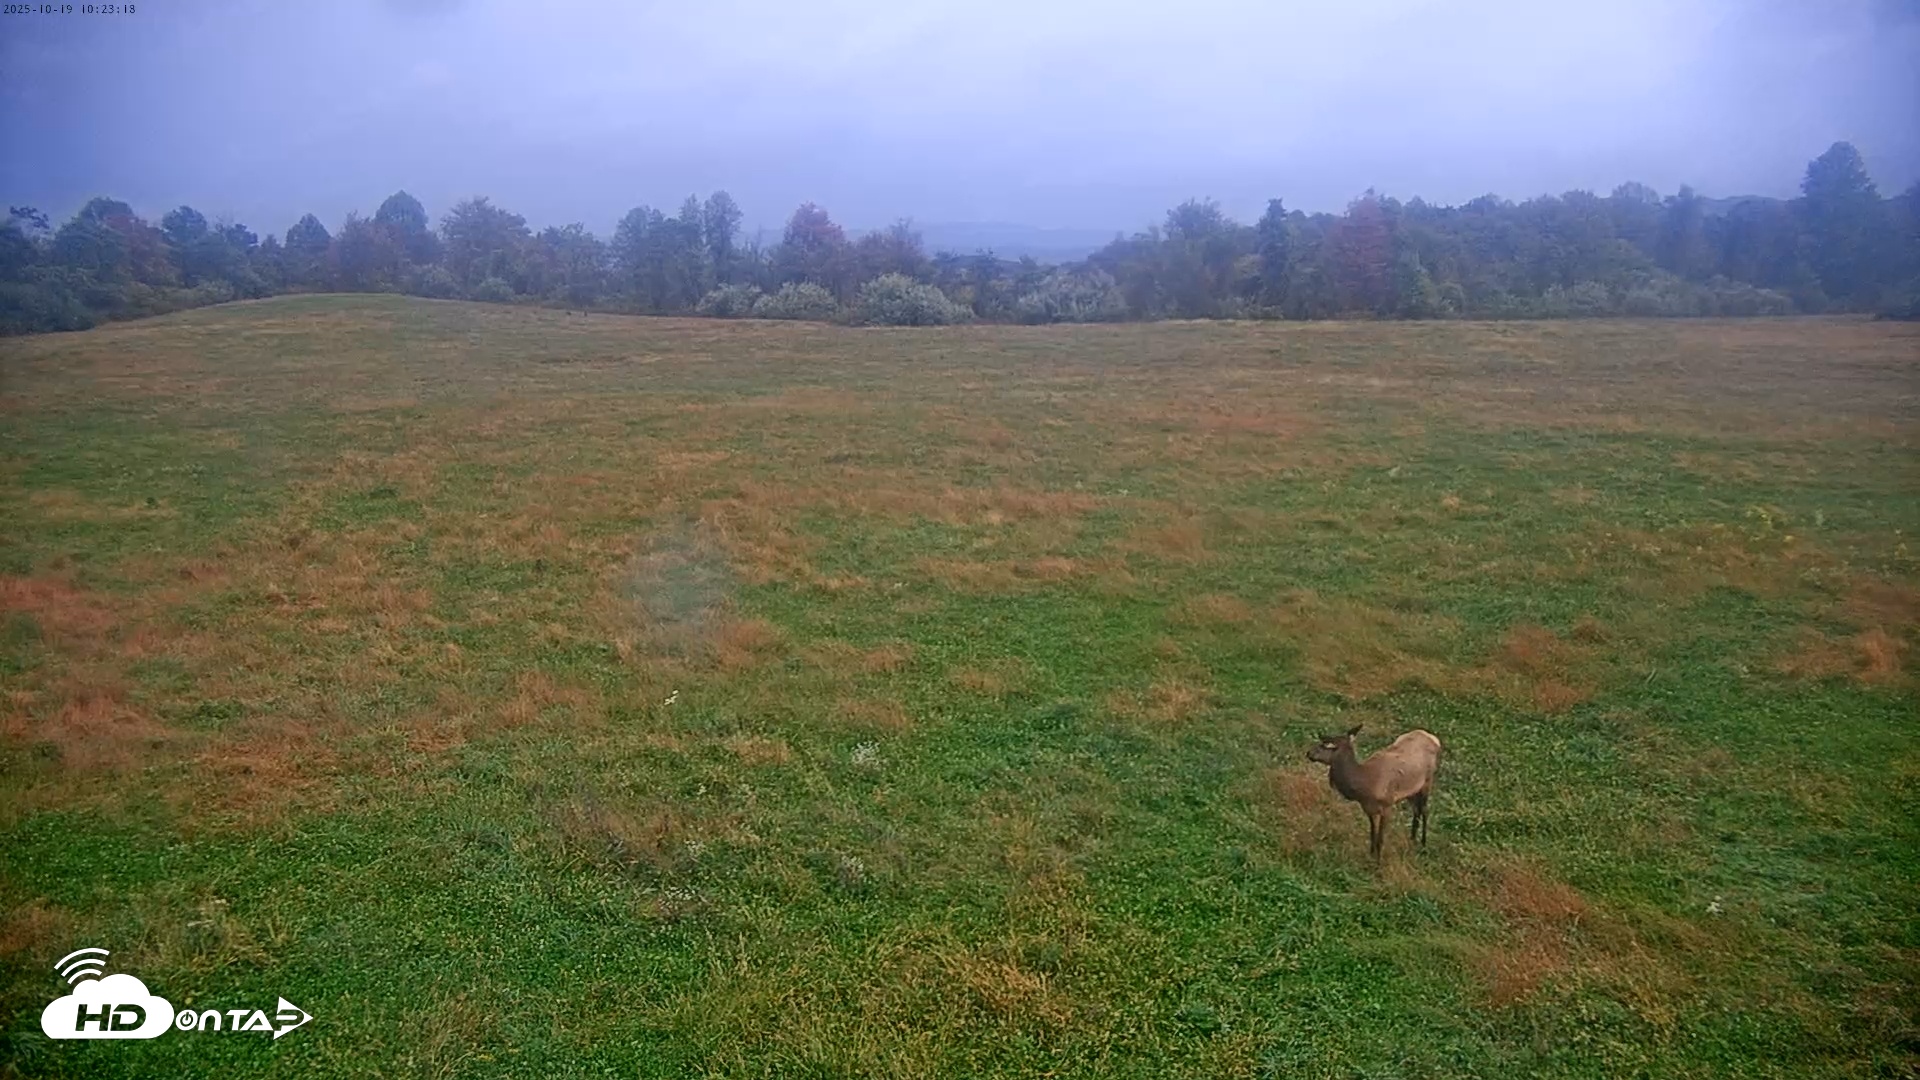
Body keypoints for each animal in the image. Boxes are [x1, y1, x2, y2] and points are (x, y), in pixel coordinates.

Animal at [1306, 725, 1443, 861]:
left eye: (1325, 745)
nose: (1308, 753)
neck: (1365, 785)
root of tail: (1434, 739)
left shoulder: (1388, 805)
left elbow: (1380, 838)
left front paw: (1378, 861)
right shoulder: (1368, 808)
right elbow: (1373, 834)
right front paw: (1371, 855)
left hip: (1427, 781)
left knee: (1424, 810)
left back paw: (1423, 844)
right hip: (1412, 791)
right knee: (1416, 810)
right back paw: (1412, 840)